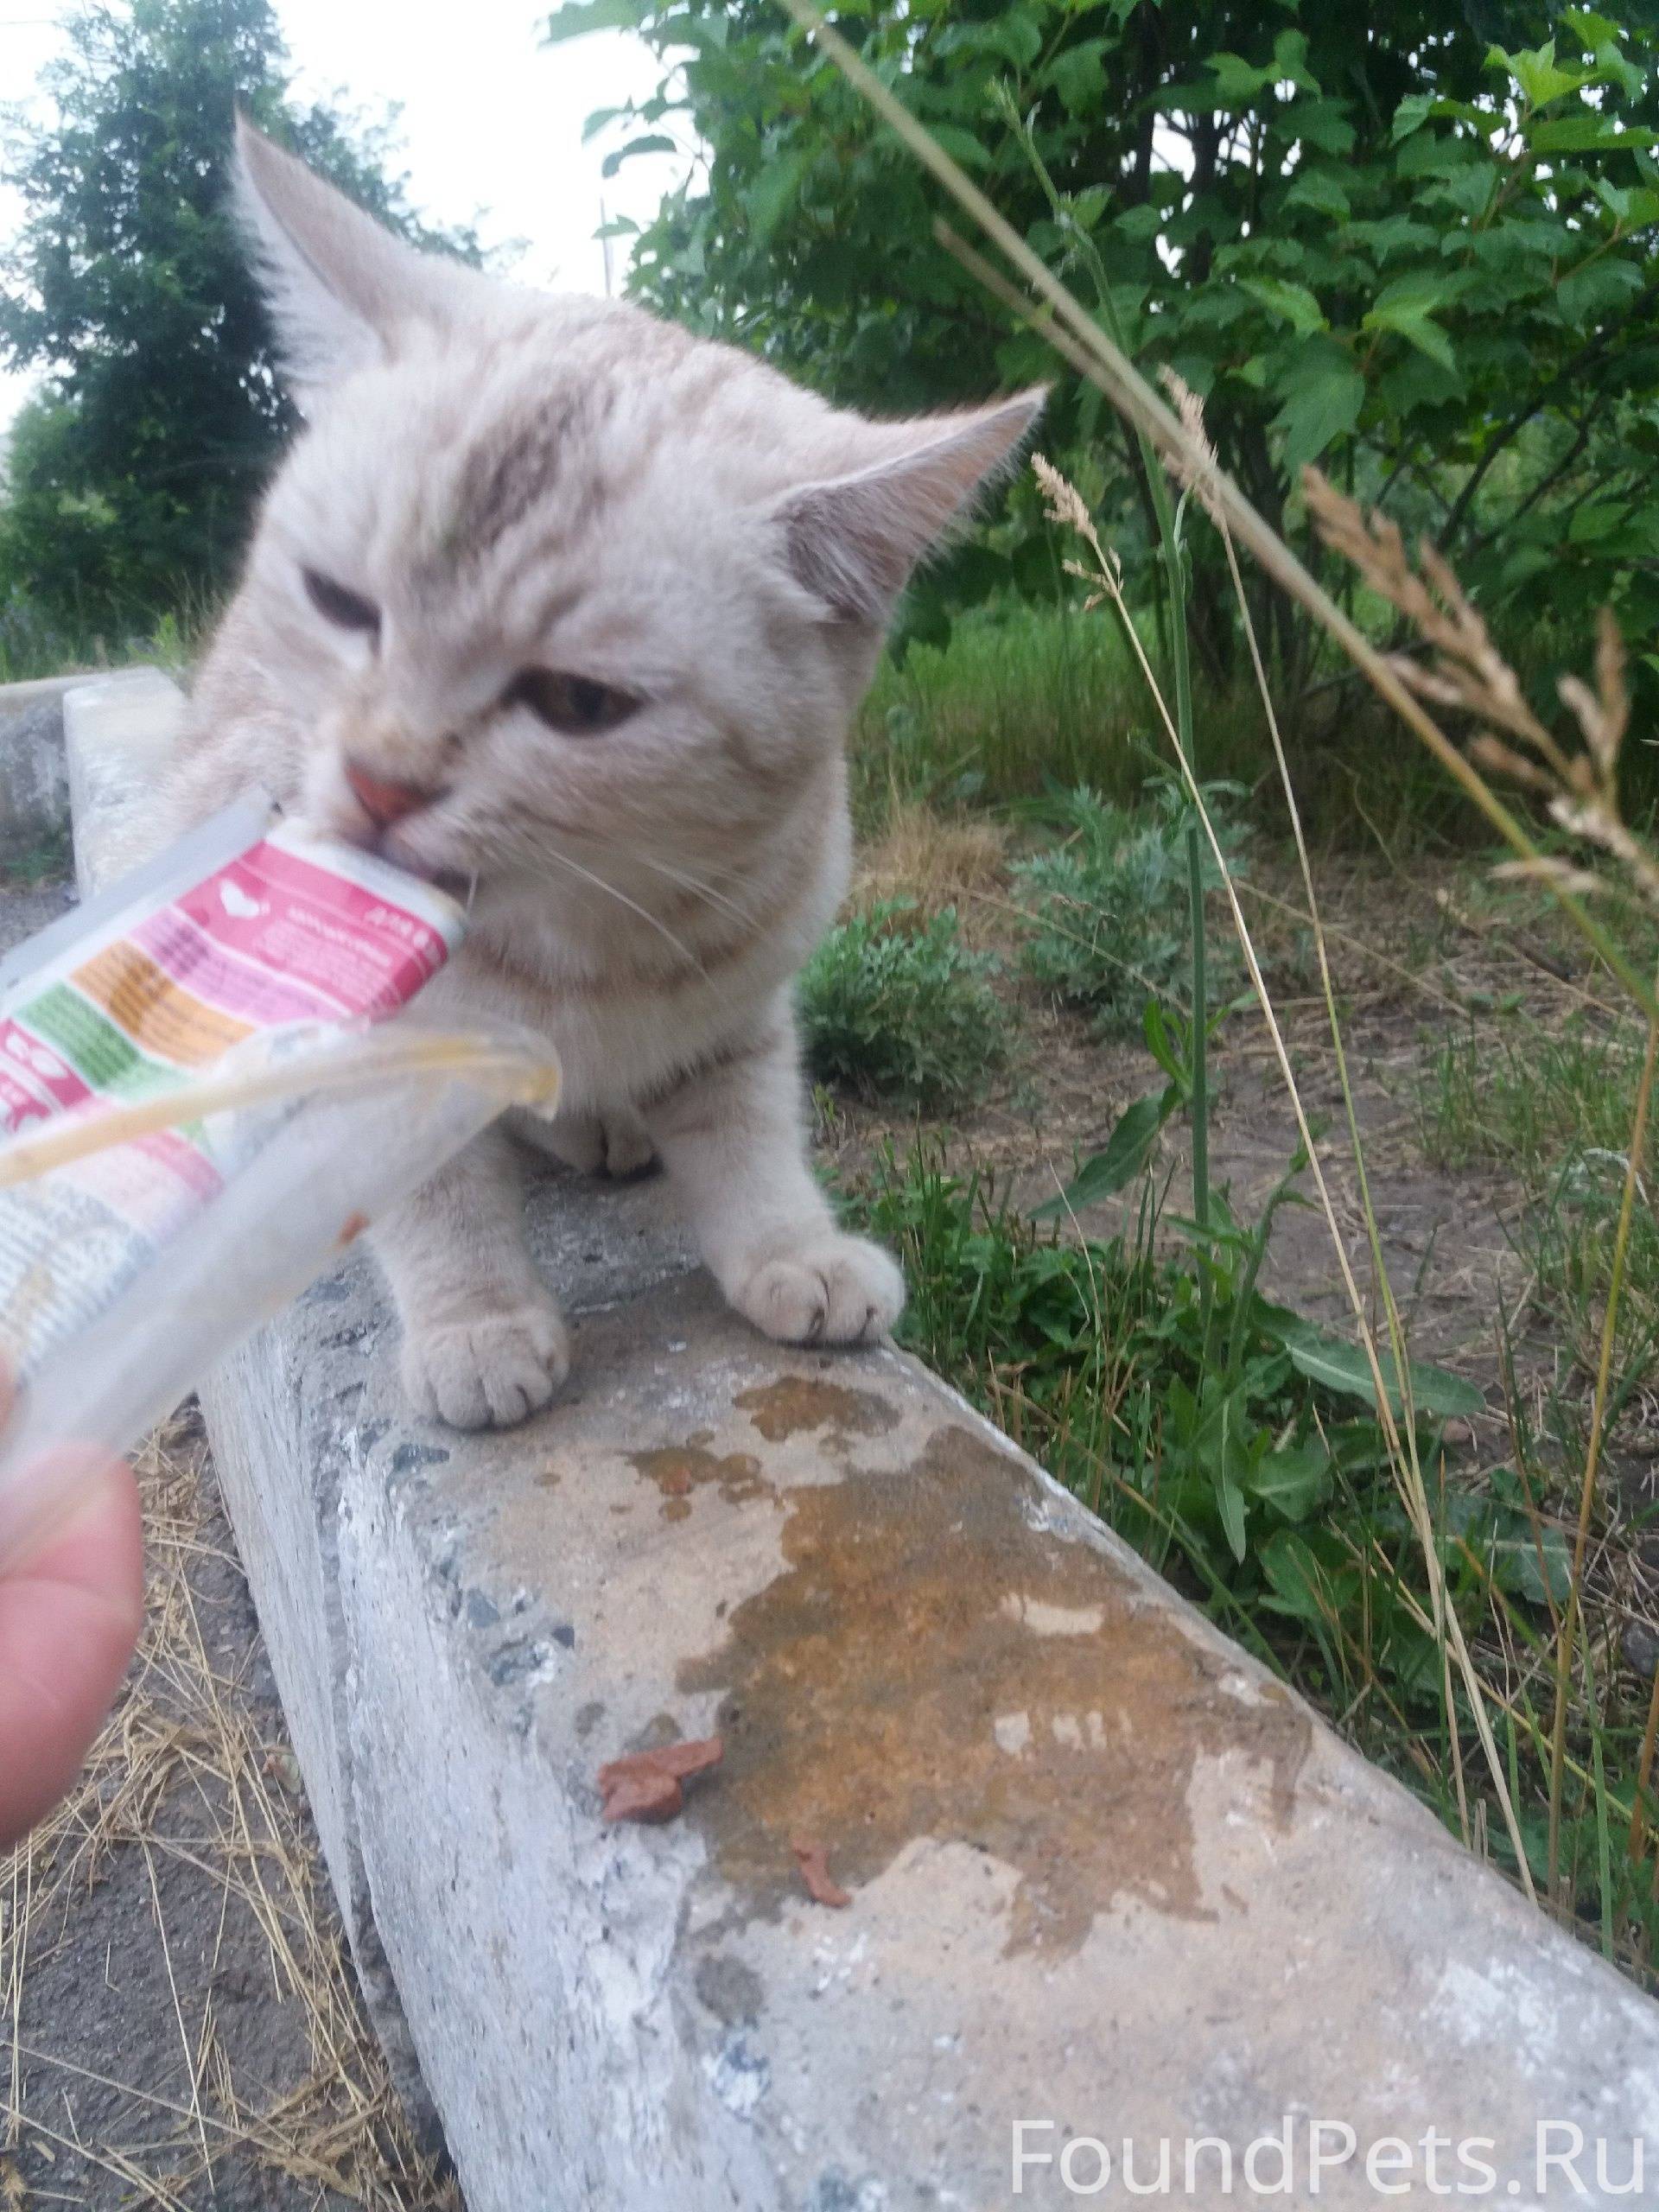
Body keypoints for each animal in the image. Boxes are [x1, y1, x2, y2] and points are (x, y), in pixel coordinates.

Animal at [166, 121, 1039, 1433]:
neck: (579, 937)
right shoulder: (386, 1054)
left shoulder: (744, 989)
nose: (380, 777)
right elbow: (434, 1199)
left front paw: (793, 1248)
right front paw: (476, 1322)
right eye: (338, 603)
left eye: (580, 704)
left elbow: (746, 1127)